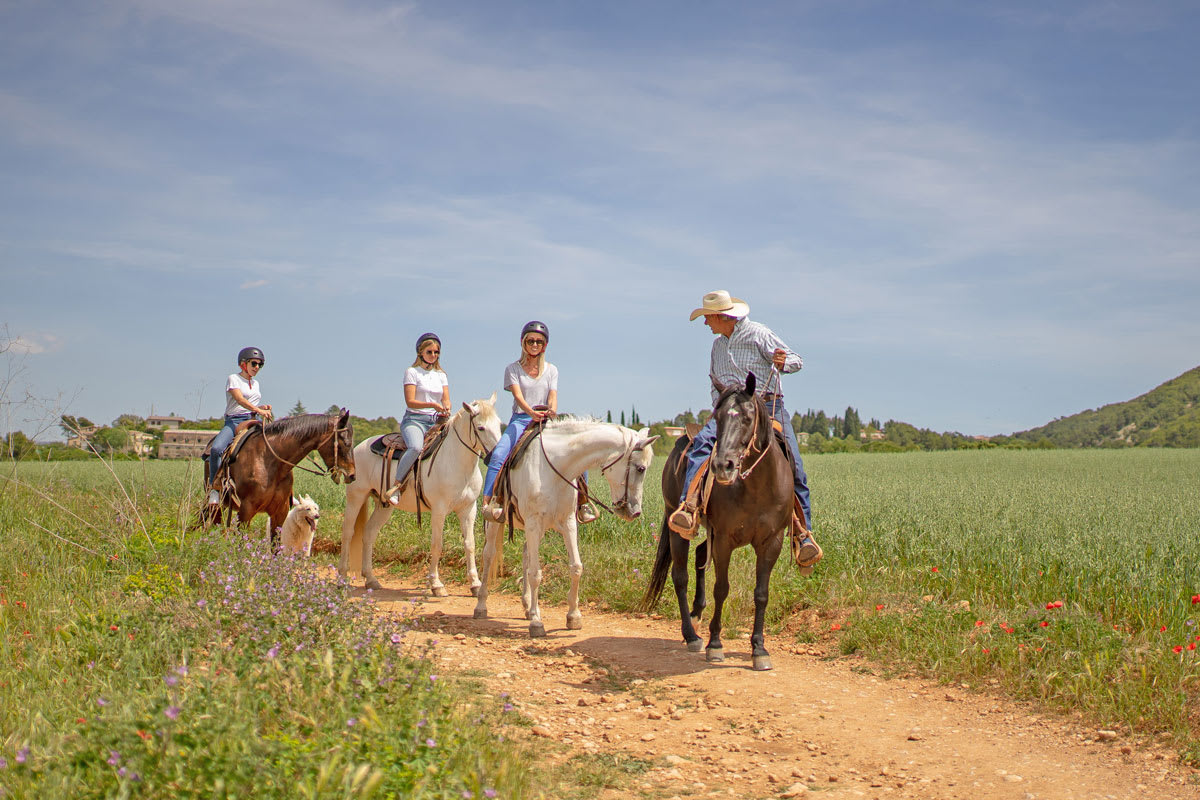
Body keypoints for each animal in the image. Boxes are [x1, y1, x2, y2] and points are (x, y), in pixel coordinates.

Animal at [201, 412, 355, 551]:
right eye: (345, 443)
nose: (352, 475)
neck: (268, 462)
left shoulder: (280, 512)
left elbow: (275, 546)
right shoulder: (246, 510)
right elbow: (241, 542)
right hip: (215, 500)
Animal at [338, 393, 501, 594]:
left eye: (499, 423)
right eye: (481, 427)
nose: (498, 457)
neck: (456, 461)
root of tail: (359, 447)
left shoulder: (468, 509)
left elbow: (470, 544)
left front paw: (476, 584)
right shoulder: (439, 510)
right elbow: (437, 544)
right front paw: (436, 584)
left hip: (384, 506)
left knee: (368, 533)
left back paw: (371, 580)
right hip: (356, 497)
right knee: (348, 532)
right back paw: (342, 578)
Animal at [470, 419, 657, 638]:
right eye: (640, 468)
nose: (634, 512)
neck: (555, 469)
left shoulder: (568, 523)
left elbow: (575, 567)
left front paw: (573, 617)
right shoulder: (533, 523)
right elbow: (536, 573)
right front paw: (537, 623)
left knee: (525, 556)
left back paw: (528, 607)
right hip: (495, 523)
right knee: (489, 555)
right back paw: (481, 606)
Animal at [643, 374, 792, 671]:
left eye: (748, 417)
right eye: (718, 417)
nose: (723, 465)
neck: (756, 487)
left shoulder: (772, 542)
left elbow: (761, 593)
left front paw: (759, 649)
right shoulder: (724, 539)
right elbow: (721, 589)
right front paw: (715, 645)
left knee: (701, 555)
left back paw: (697, 612)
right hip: (677, 523)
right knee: (680, 576)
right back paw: (691, 635)